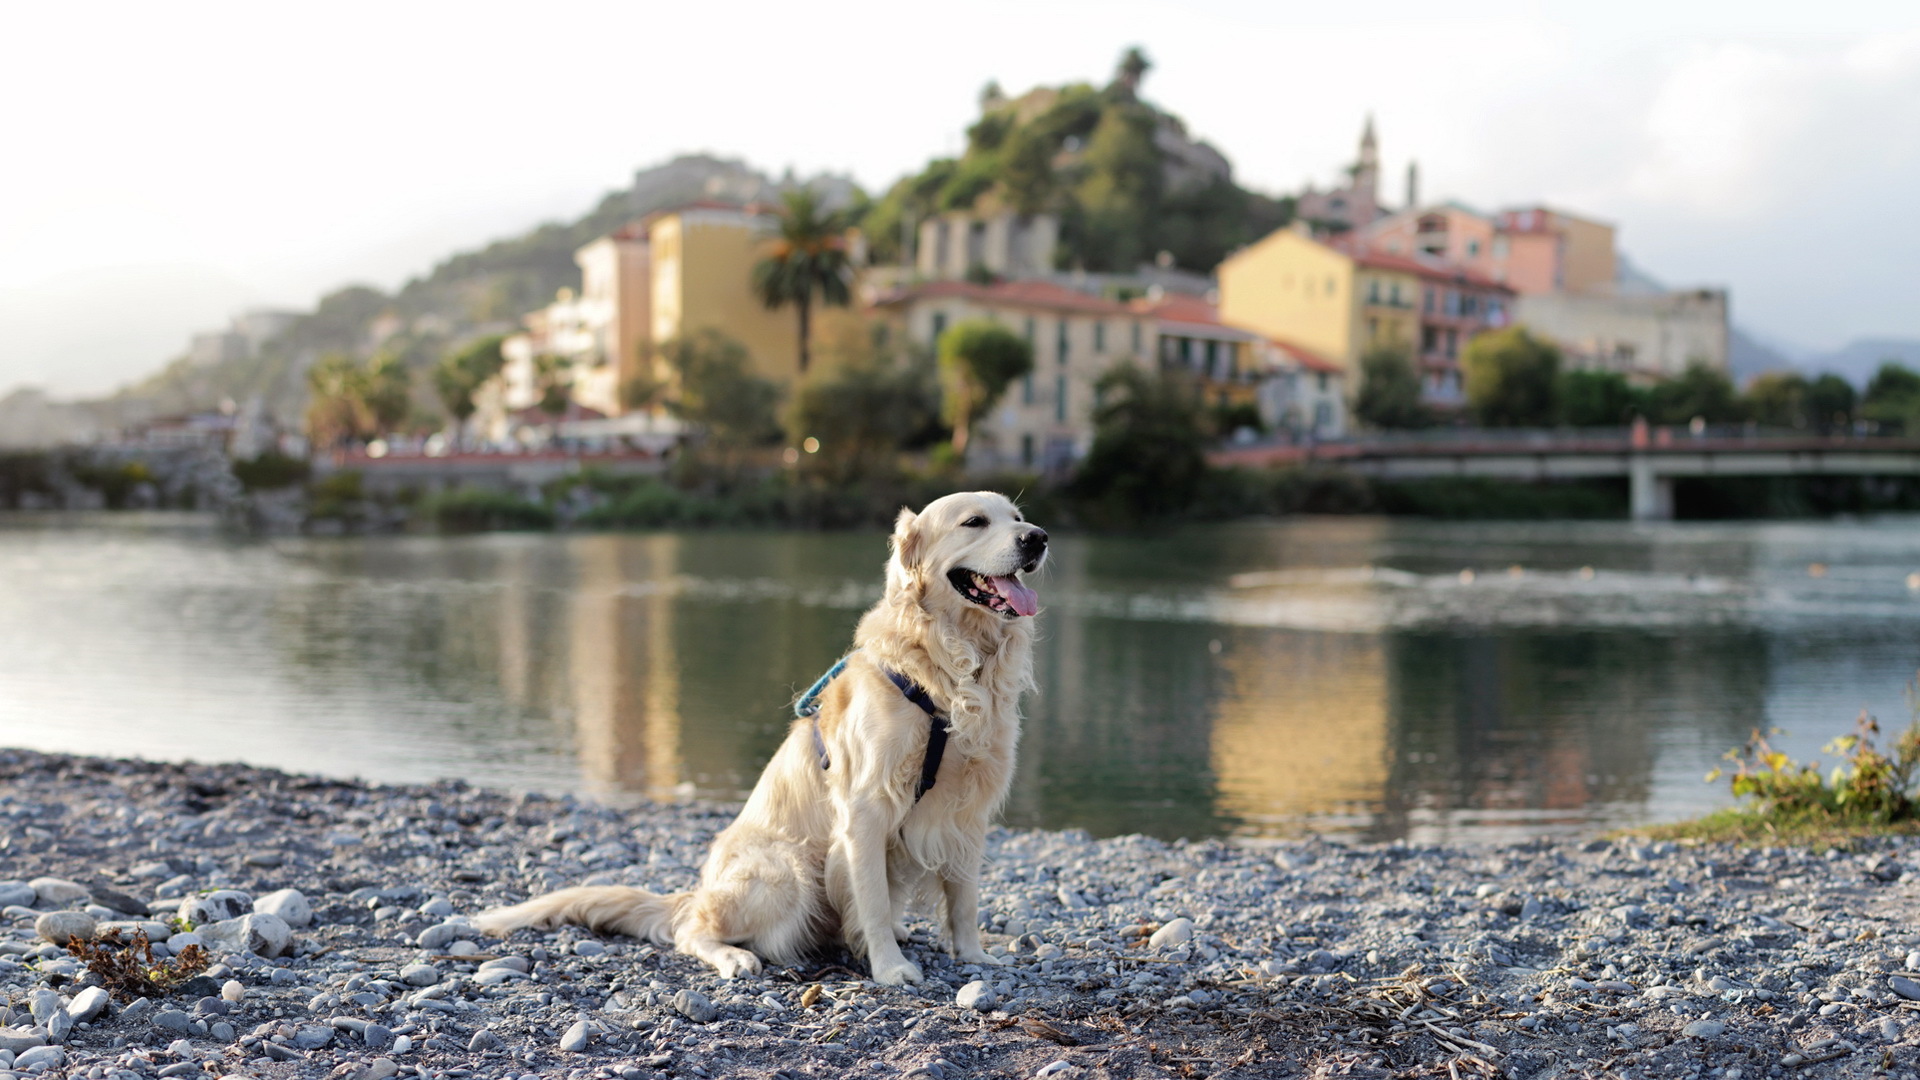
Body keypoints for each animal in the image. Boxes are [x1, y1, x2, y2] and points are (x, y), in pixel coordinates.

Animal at [478, 491, 1052, 980]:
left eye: (1017, 517)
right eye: (974, 522)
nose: (1039, 537)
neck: (950, 669)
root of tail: (700, 891)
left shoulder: (968, 810)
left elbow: (965, 899)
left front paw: (975, 956)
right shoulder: (866, 807)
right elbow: (869, 898)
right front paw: (890, 969)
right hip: (786, 870)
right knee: (692, 930)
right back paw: (736, 957)